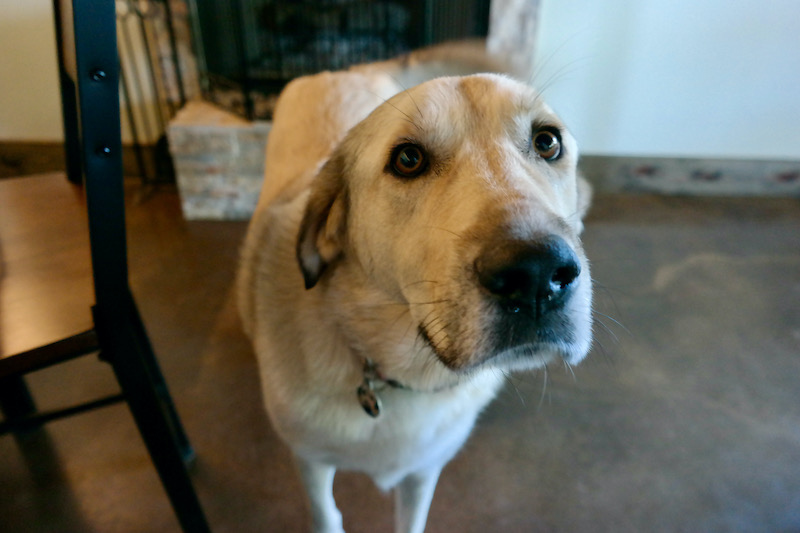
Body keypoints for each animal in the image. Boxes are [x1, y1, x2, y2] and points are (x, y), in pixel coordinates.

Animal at [238, 45, 592, 532]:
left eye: (547, 142)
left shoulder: (423, 472)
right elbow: (326, 513)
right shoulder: (309, 461)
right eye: (408, 159)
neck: (399, 374)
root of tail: (342, 69)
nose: (538, 275)